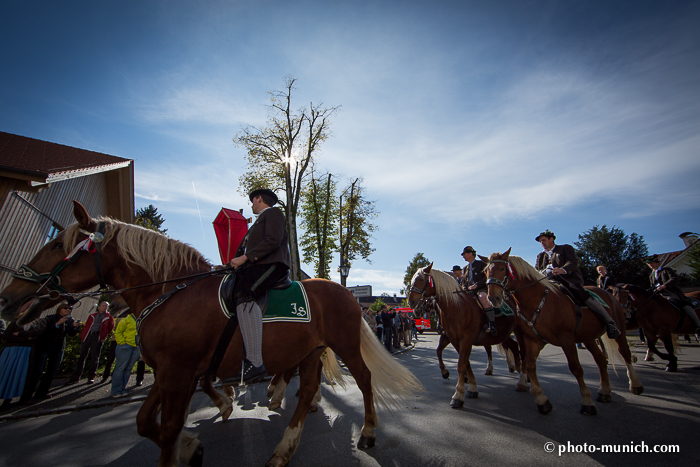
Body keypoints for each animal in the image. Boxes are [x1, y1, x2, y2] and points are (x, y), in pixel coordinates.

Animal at [0, 202, 422, 467]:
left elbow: (168, 427)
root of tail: (344, 293)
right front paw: (193, 444)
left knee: (363, 379)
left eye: (58, 244)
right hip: (309, 350)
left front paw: (188, 442)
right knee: (305, 392)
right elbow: (145, 422)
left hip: (344, 342)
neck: (170, 291)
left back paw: (367, 431)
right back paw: (283, 445)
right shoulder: (171, 372)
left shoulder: (179, 372)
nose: (9, 296)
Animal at [404, 266, 524, 408]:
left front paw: (458, 395)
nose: (412, 304)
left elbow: (461, 364)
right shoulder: (453, 339)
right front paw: (467, 384)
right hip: (504, 334)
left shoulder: (465, 340)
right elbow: (452, 357)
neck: (457, 307)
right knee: (513, 346)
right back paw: (517, 370)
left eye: (422, 279)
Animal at [484, 250, 644, 414]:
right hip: (588, 337)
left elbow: (576, 368)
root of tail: (606, 293)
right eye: (486, 272)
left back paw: (635, 384)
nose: (493, 298)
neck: (537, 300)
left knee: (625, 353)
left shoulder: (566, 339)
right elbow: (529, 364)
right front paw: (541, 399)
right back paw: (604, 391)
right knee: (600, 359)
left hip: (619, 330)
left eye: (502, 269)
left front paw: (586, 401)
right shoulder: (533, 339)